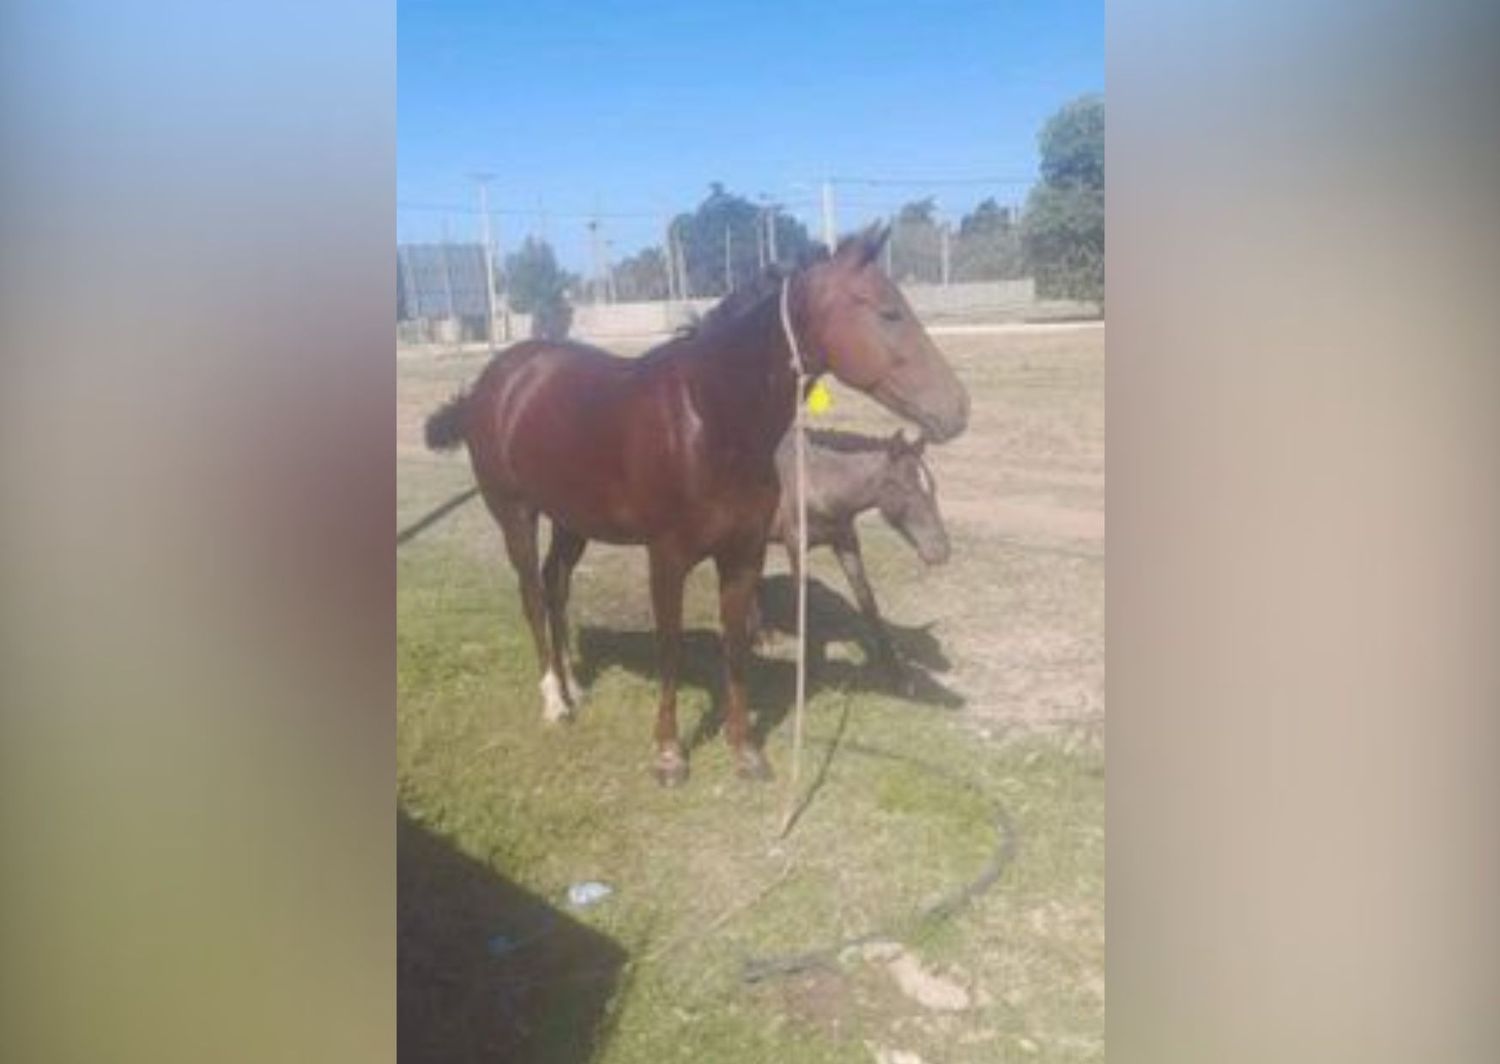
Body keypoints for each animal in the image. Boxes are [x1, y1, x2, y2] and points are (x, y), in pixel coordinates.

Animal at [429, 228, 966, 786]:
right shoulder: (667, 558)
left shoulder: (744, 554)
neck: (707, 418)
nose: (958, 408)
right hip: (514, 513)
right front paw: (669, 753)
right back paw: (555, 701)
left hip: (570, 520)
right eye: (888, 312)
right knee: (533, 595)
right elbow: (671, 649)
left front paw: (745, 749)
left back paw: (573, 685)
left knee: (556, 586)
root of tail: (494, 381)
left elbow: (736, 645)